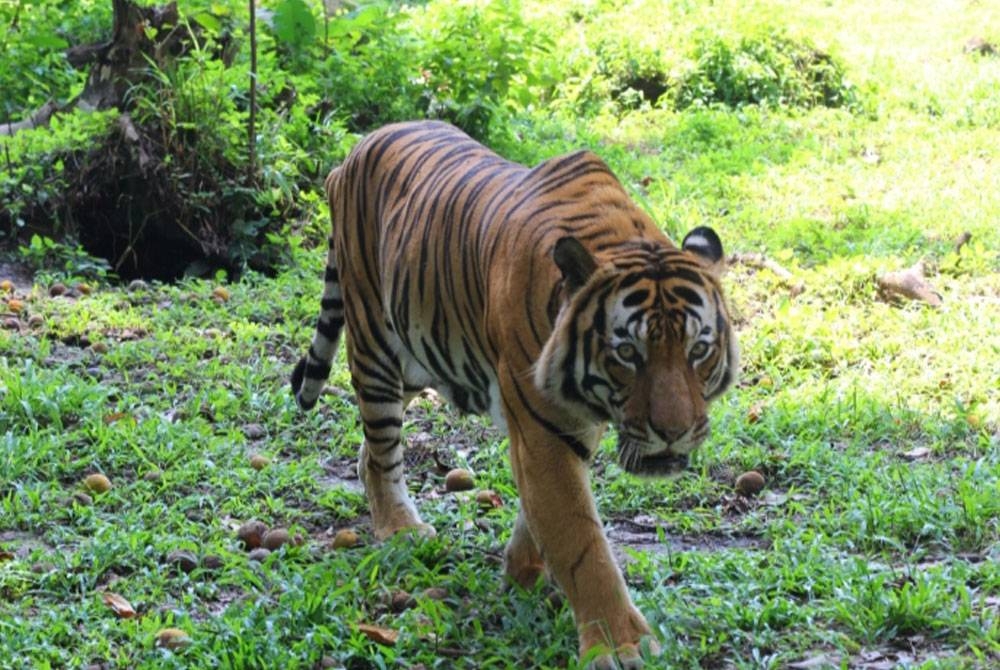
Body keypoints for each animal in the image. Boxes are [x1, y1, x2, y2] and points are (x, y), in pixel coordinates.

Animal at [290, 119, 736, 668]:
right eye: (628, 352)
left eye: (699, 349)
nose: (675, 433)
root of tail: (352, 153)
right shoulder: (544, 426)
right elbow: (581, 538)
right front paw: (621, 643)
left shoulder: (565, 425)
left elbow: (539, 512)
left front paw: (524, 572)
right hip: (375, 343)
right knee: (381, 445)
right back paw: (400, 528)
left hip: (419, 353)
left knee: (371, 450)